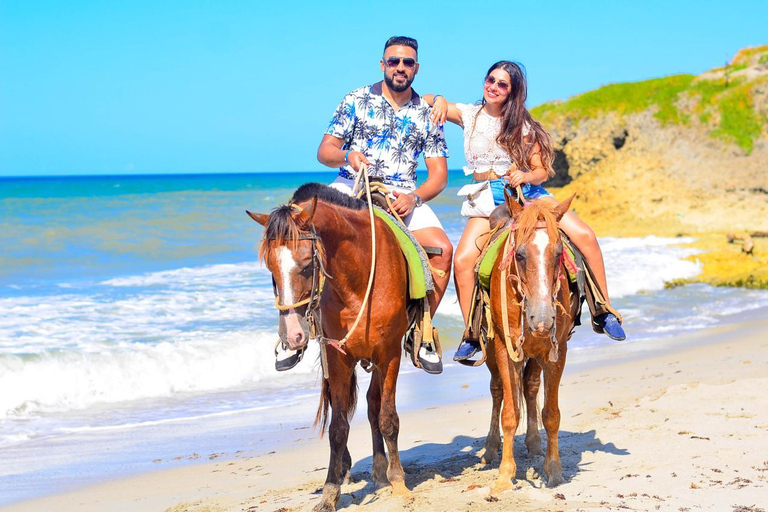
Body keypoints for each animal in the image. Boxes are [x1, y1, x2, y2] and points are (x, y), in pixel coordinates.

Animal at [249, 182, 412, 510]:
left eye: (307, 265)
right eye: (271, 269)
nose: (292, 336)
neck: (358, 281)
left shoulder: (389, 354)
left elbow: (388, 418)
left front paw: (399, 482)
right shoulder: (338, 358)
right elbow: (338, 428)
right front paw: (330, 491)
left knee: (375, 406)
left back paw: (383, 471)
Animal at [484, 194, 580, 494]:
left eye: (559, 253)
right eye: (520, 254)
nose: (542, 319)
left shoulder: (555, 351)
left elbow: (551, 413)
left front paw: (554, 470)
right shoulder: (505, 349)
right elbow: (510, 413)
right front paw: (505, 475)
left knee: (530, 386)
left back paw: (534, 444)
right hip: (490, 352)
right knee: (497, 390)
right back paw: (490, 449)